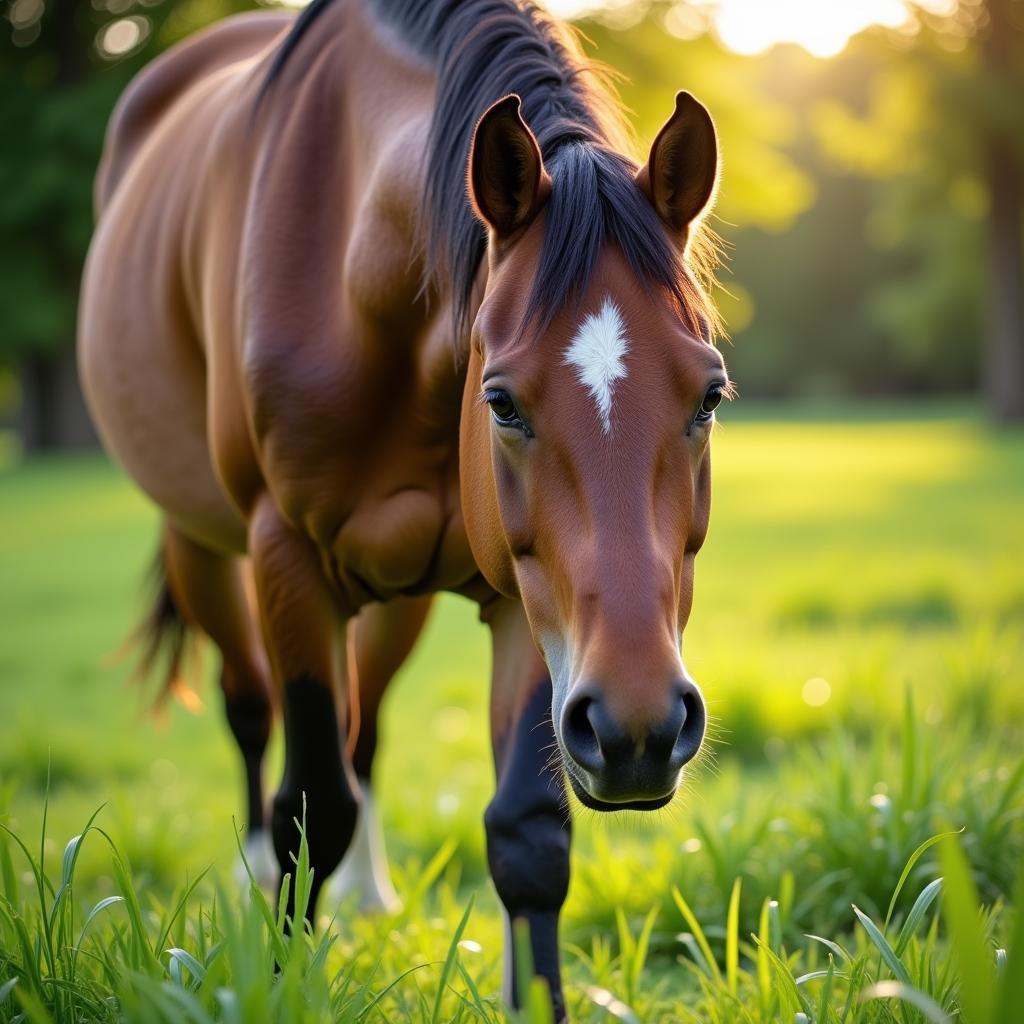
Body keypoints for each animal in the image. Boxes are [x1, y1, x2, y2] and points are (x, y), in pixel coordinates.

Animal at [77, 0, 729, 1011]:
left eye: (709, 395)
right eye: (501, 402)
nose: (640, 727)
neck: (355, 266)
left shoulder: (525, 600)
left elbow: (527, 831)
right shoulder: (290, 562)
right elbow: (309, 806)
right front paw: (282, 980)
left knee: (367, 728)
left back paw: (370, 895)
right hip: (203, 546)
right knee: (253, 714)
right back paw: (257, 877)